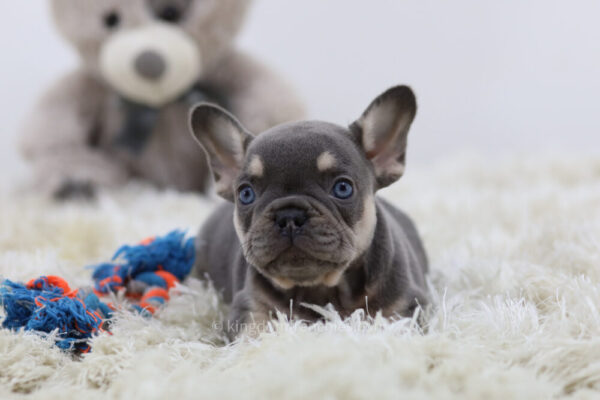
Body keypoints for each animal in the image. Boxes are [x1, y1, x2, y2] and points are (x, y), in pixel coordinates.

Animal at [190, 86, 428, 336]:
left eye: (343, 188)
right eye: (246, 194)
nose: (289, 216)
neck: (320, 289)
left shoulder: (401, 306)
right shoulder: (251, 308)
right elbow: (253, 333)